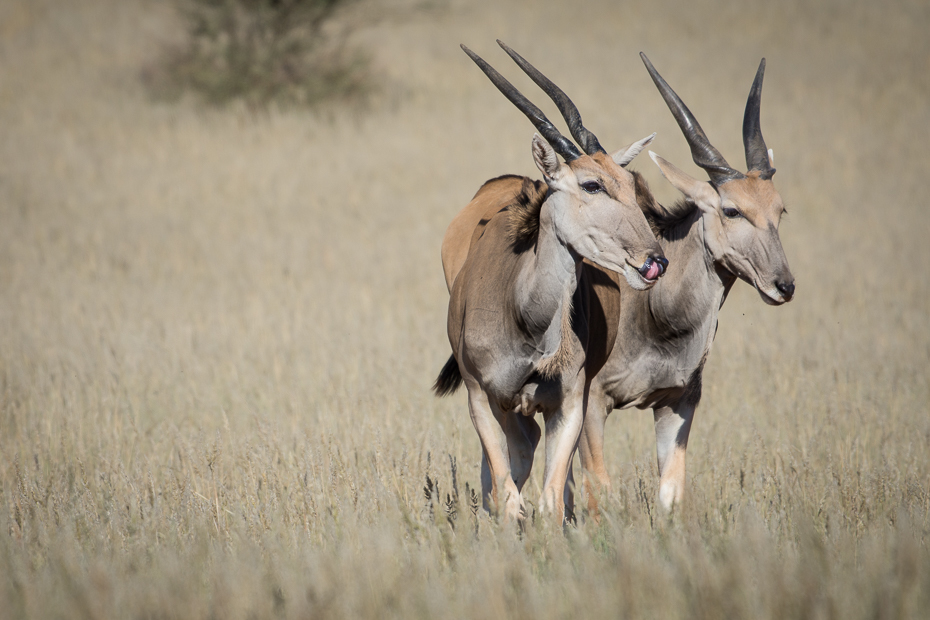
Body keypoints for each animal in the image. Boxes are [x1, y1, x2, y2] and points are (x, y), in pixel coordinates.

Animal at [436, 41, 664, 524]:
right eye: (592, 184)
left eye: (629, 184)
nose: (654, 261)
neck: (524, 317)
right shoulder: (483, 399)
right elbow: (507, 495)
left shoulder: (569, 404)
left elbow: (550, 500)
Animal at [568, 54, 792, 512]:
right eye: (731, 210)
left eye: (780, 210)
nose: (784, 285)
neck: (657, 315)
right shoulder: (593, 401)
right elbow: (600, 490)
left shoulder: (678, 404)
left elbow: (671, 495)